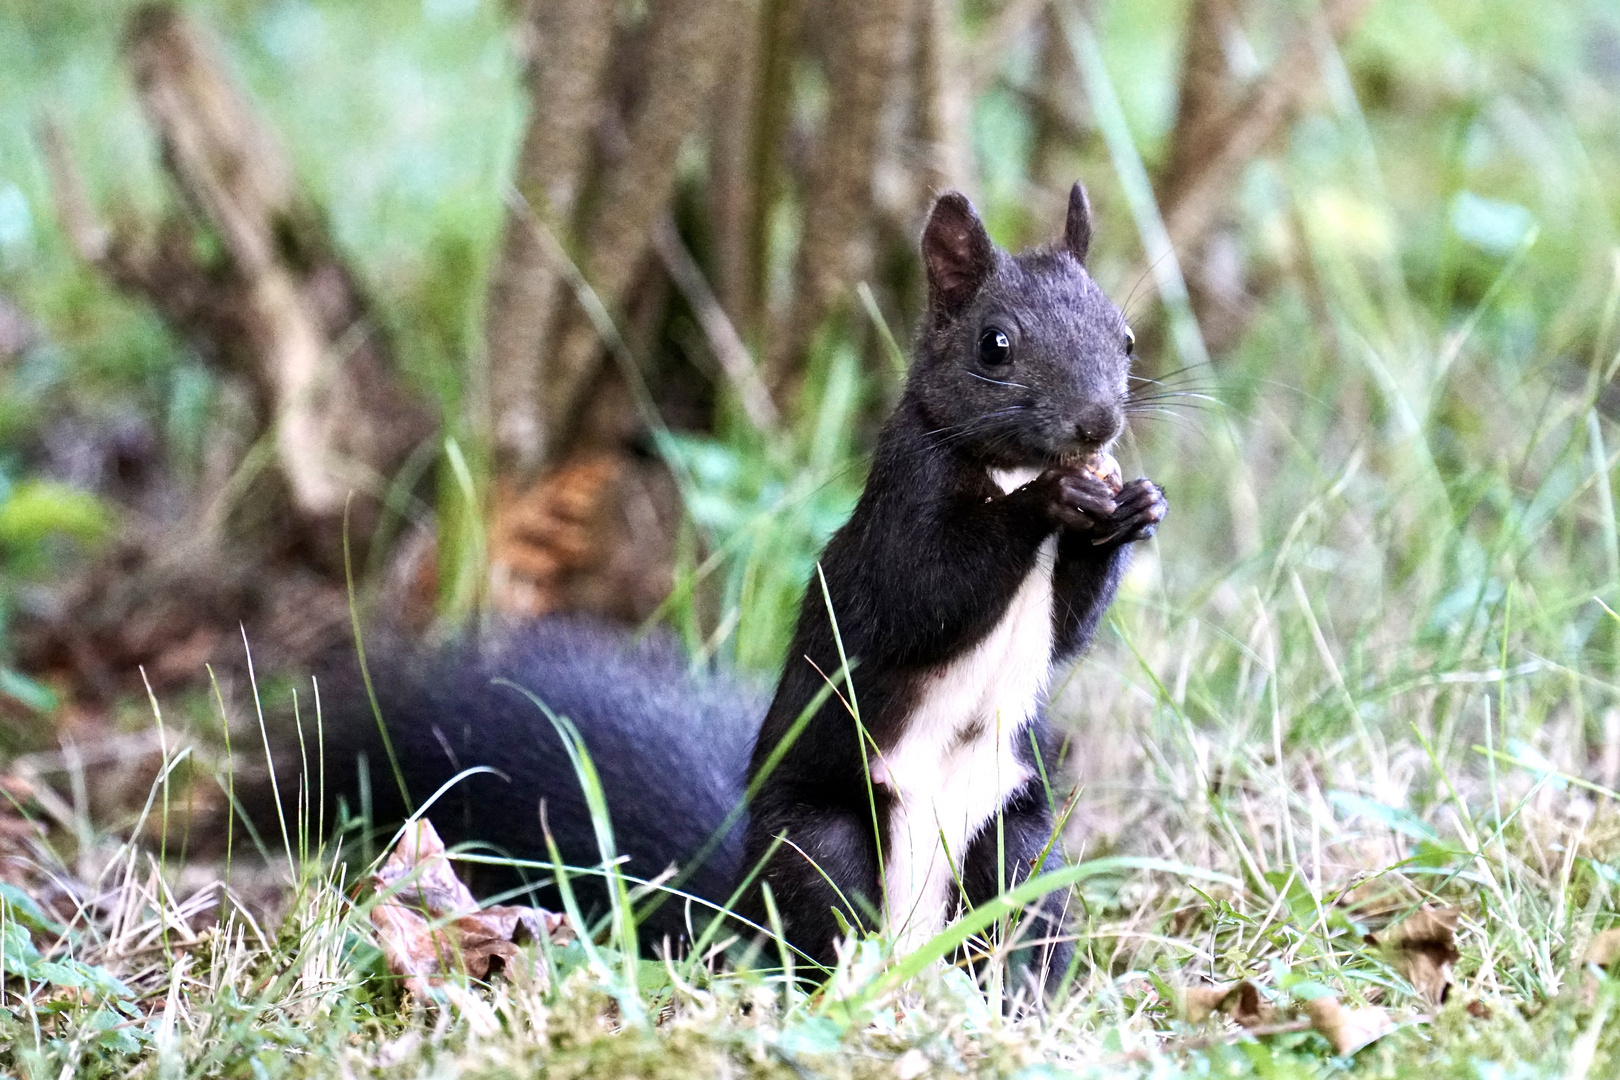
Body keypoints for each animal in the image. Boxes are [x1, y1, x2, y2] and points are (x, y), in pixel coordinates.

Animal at [294, 181, 1166, 990]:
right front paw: (1047, 501)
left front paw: (1133, 508)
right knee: (827, 923)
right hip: (821, 846)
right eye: (996, 345)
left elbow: (1068, 628)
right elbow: (929, 592)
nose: (1097, 423)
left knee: (1018, 922)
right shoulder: (896, 520)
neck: (1010, 468)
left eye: (1125, 339)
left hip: (1021, 846)